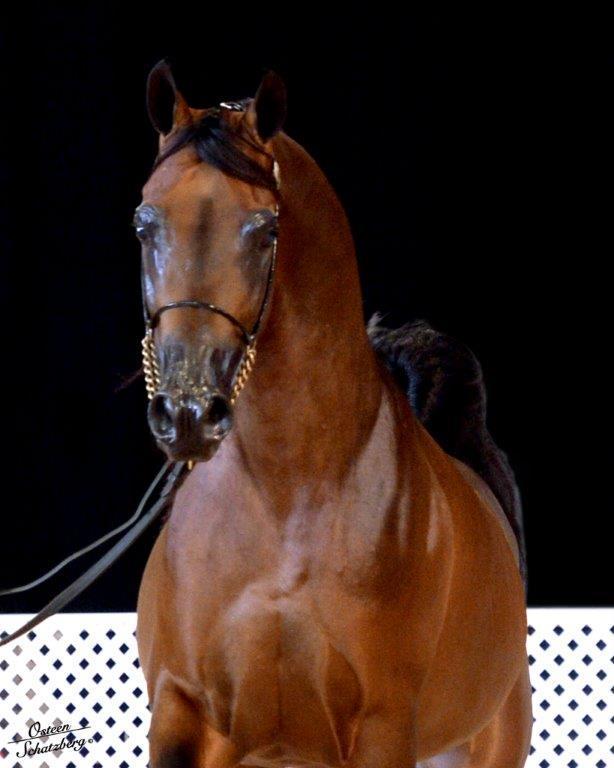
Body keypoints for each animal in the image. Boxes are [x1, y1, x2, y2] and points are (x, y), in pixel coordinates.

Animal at [135, 60, 532, 768]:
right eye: (144, 223)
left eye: (265, 229)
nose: (187, 412)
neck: (286, 497)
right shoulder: (183, 712)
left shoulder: (381, 727)